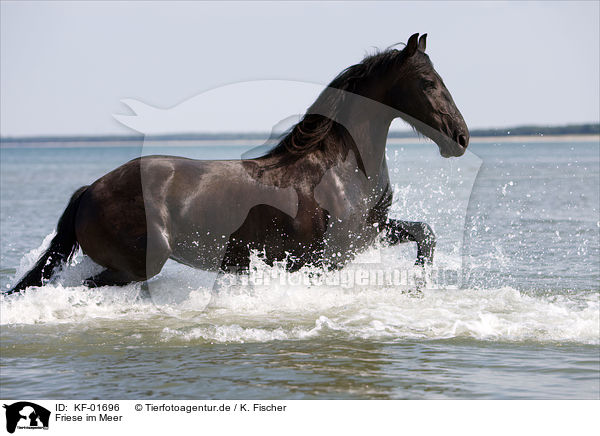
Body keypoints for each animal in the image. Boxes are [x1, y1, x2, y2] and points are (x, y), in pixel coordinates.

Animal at [8, 32, 468, 294]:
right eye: (428, 82)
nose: (461, 137)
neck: (341, 171)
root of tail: (89, 191)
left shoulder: (371, 231)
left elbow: (425, 233)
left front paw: (418, 287)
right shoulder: (325, 256)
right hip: (138, 264)